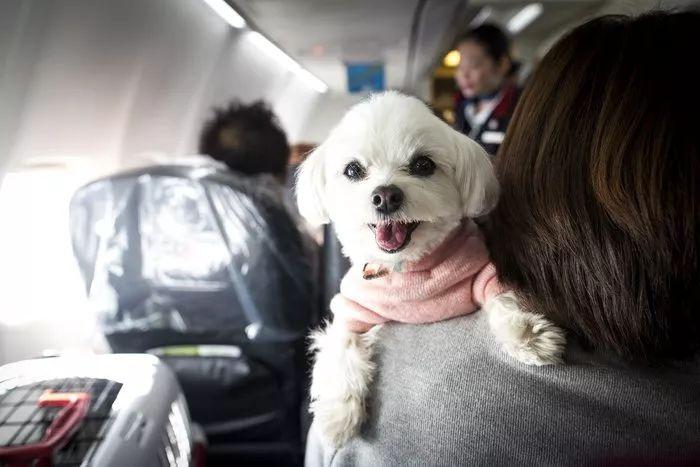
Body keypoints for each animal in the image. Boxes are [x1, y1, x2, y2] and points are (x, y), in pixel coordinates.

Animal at [296, 92, 568, 450]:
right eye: (353, 170)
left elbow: (502, 297)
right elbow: (341, 347)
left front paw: (528, 335)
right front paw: (337, 415)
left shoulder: (480, 270)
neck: (409, 270)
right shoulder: (352, 309)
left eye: (423, 165)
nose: (386, 196)